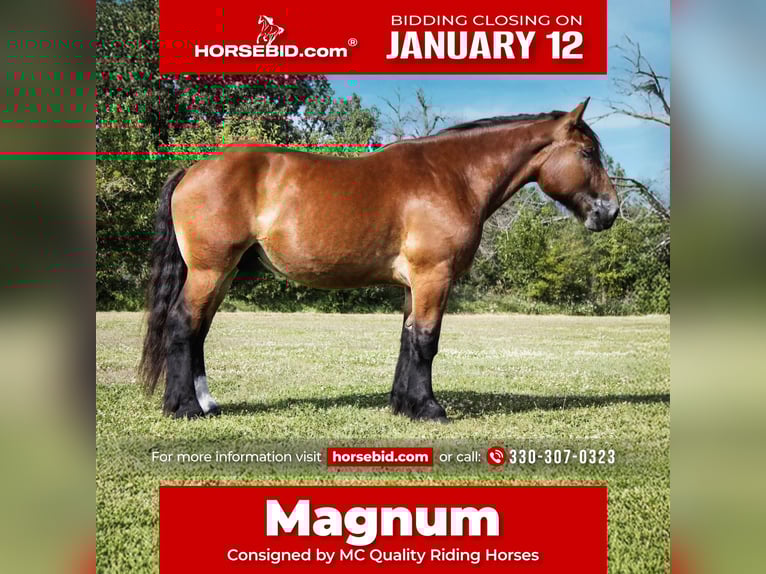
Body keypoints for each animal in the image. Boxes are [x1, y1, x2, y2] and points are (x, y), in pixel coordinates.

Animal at [139, 99, 619, 422]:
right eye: (587, 153)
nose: (610, 211)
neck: (453, 176)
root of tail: (193, 170)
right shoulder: (433, 277)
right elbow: (426, 341)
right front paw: (429, 408)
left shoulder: (414, 284)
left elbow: (408, 340)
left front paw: (403, 405)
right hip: (210, 270)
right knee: (184, 325)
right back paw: (184, 407)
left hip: (222, 273)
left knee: (198, 331)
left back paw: (206, 402)